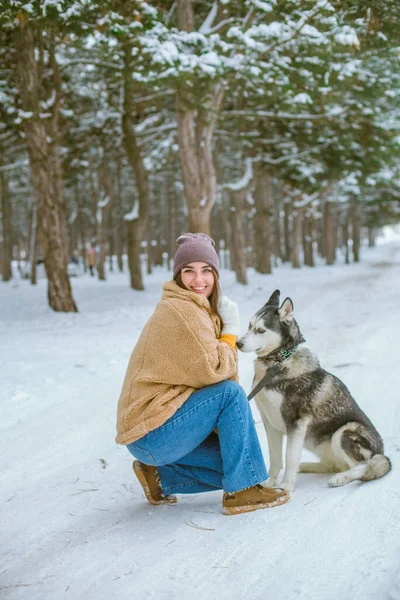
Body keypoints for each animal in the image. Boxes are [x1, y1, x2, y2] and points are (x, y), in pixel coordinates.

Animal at [238, 290, 390, 492]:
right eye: (250, 325)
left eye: (261, 330)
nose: (238, 343)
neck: (278, 364)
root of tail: (381, 450)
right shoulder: (269, 422)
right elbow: (275, 458)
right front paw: (270, 483)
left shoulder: (296, 423)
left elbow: (290, 457)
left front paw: (286, 486)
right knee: (335, 465)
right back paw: (308, 466)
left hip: (344, 431)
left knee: (364, 466)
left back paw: (340, 478)